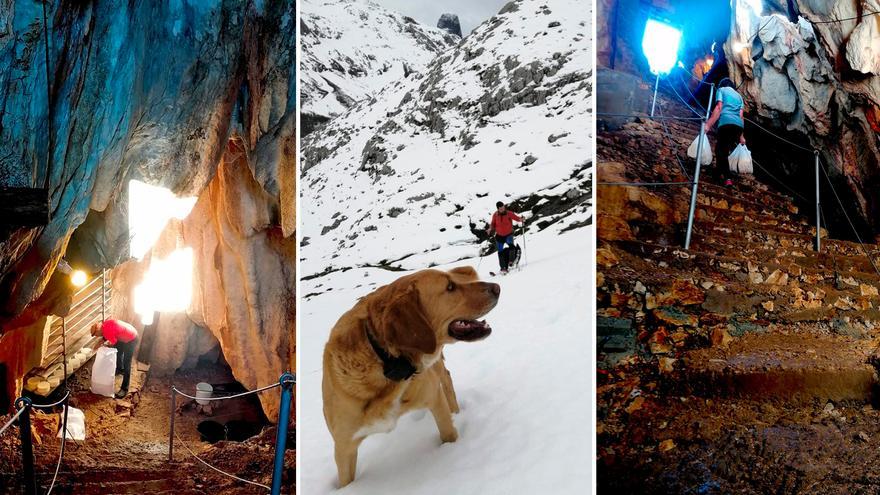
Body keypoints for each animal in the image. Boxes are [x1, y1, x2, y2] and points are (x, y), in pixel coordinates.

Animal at [324, 266, 502, 486]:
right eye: (449, 287)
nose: (497, 287)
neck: (385, 361)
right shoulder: (343, 448)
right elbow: (346, 480)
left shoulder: (434, 398)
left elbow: (448, 432)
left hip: (437, 367)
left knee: (447, 379)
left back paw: (456, 412)